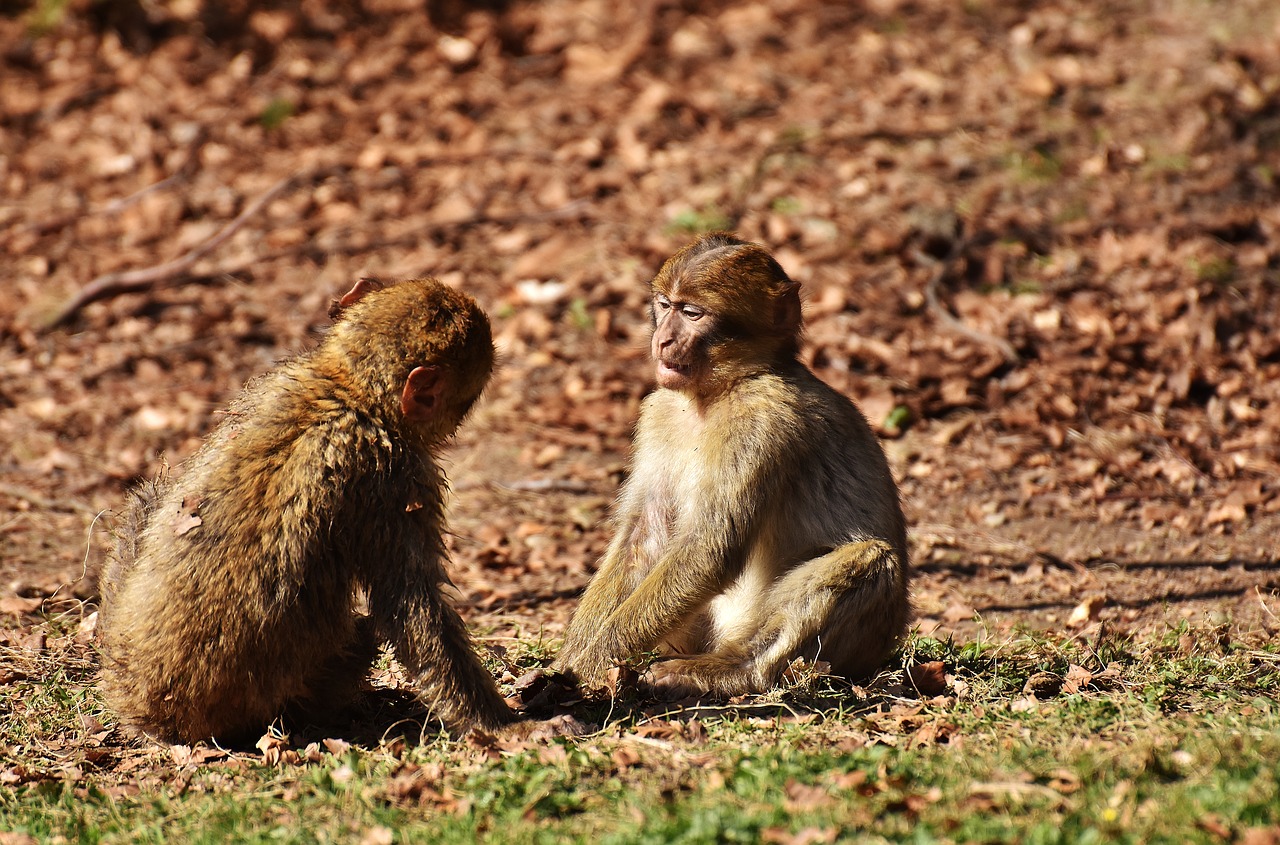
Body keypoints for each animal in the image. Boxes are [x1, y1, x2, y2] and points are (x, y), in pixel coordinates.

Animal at [94, 279, 522, 747]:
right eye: (468, 399)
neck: (349, 390)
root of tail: (144, 710)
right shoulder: (394, 480)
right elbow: (411, 607)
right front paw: (499, 723)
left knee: (151, 495)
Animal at [552, 233, 911, 701]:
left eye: (692, 313)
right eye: (665, 305)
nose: (662, 340)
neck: (715, 393)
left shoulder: (762, 419)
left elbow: (709, 548)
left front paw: (586, 669)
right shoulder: (658, 412)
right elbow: (645, 536)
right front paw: (569, 660)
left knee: (872, 557)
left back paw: (732, 671)